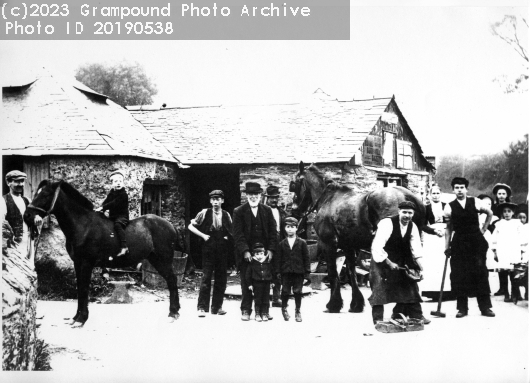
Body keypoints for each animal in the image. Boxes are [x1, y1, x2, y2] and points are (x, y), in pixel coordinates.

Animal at [23, 180, 182, 328]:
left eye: (45, 194)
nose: (27, 215)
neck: (83, 225)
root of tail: (170, 226)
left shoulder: (86, 263)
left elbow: (84, 288)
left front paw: (81, 319)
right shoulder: (77, 263)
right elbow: (79, 288)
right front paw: (76, 318)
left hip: (163, 260)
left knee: (172, 280)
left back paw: (173, 313)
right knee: (171, 280)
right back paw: (175, 312)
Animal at [288, 162, 424, 316]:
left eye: (294, 184)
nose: (294, 211)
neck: (329, 199)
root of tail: (407, 196)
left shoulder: (329, 245)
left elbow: (333, 272)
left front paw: (334, 304)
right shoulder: (349, 246)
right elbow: (351, 272)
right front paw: (356, 304)